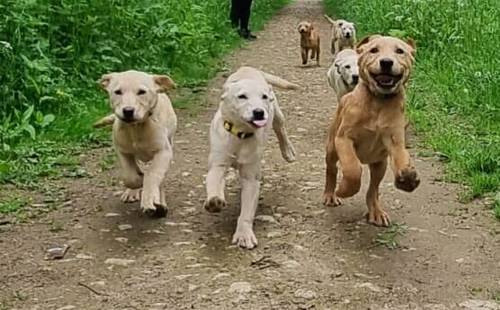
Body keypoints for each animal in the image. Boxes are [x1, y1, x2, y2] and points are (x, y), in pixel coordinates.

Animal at [96, 69, 177, 218]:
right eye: (118, 92)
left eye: (142, 92)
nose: (128, 111)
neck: (136, 128)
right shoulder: (122, 150)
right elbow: (129, 175)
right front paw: (138, 181)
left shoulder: (163, 152)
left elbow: (153, 174)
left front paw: (150, 198)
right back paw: (132, 191)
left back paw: (160, 202)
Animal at [204, 66, 296, 249]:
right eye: (242, 96)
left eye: (264, 97)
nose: (259, 112)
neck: (240, 135)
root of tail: (247, 68)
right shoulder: (218, 164)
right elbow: (214, 182)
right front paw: (215, 201)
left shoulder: (251, 178)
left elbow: (246, 211)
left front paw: (244, 234)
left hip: (276, 113)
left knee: (280, 128)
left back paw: (288, 151)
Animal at [322, 35, 420, 228]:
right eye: (374, 50)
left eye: (400, 51)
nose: (386, 62)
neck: (378, 102)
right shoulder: (344, 139)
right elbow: (352, 169)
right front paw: (344, 190)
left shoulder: (396, 141)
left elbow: (402, 159)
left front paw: (408, 178)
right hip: (332, 147)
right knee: (332, 169)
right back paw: (330, 195)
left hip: (379, 164)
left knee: (373, 190)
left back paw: (376, 212)